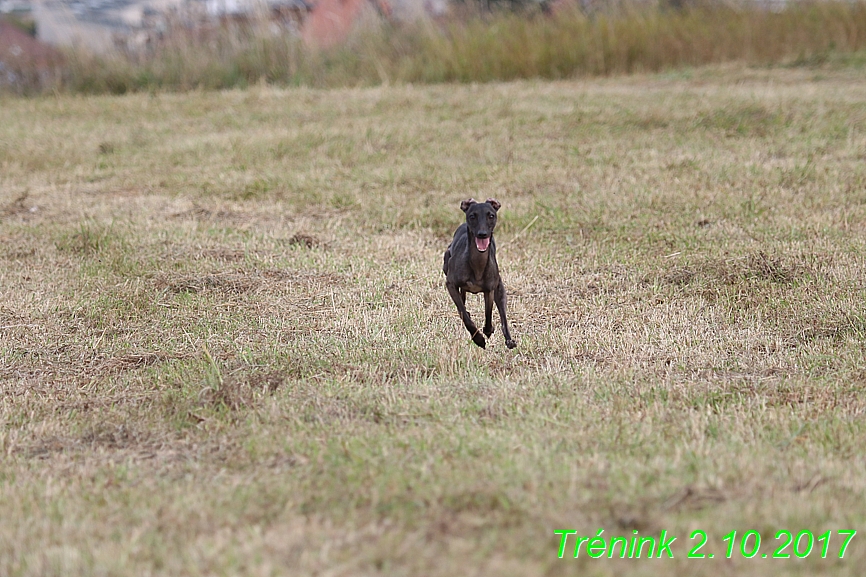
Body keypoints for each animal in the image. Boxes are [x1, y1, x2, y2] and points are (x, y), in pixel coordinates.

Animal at [442, 198, 516, 348]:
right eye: (472, 216)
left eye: (491, 215)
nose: (482, 234)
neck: (477, 264)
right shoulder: (450, 284)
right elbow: (463, 313)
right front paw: (479, 339)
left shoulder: (490, 290)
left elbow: (488, 313)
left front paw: (488, 330)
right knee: (462, 306)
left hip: (500, 289)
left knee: (503, 316)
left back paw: (509, 340)